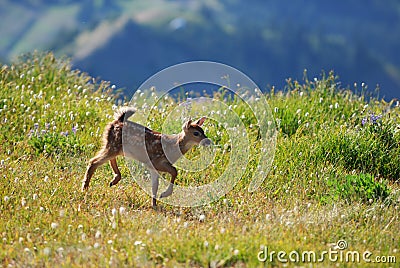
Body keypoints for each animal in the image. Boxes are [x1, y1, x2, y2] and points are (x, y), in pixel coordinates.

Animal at [82, 107, 212, 207]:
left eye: (203, 130)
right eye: (196, 133)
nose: (208, 142)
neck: (174, 146)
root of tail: (117, 121)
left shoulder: (154, 167)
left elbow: (155, 186)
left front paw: (154, 204)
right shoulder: (155, 161)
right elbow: (174, 171)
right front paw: (164, 195)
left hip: (114, 147)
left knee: (106, 159)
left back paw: (114, 180)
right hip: (113, 146)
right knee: (93, 162)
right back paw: (85, 188)